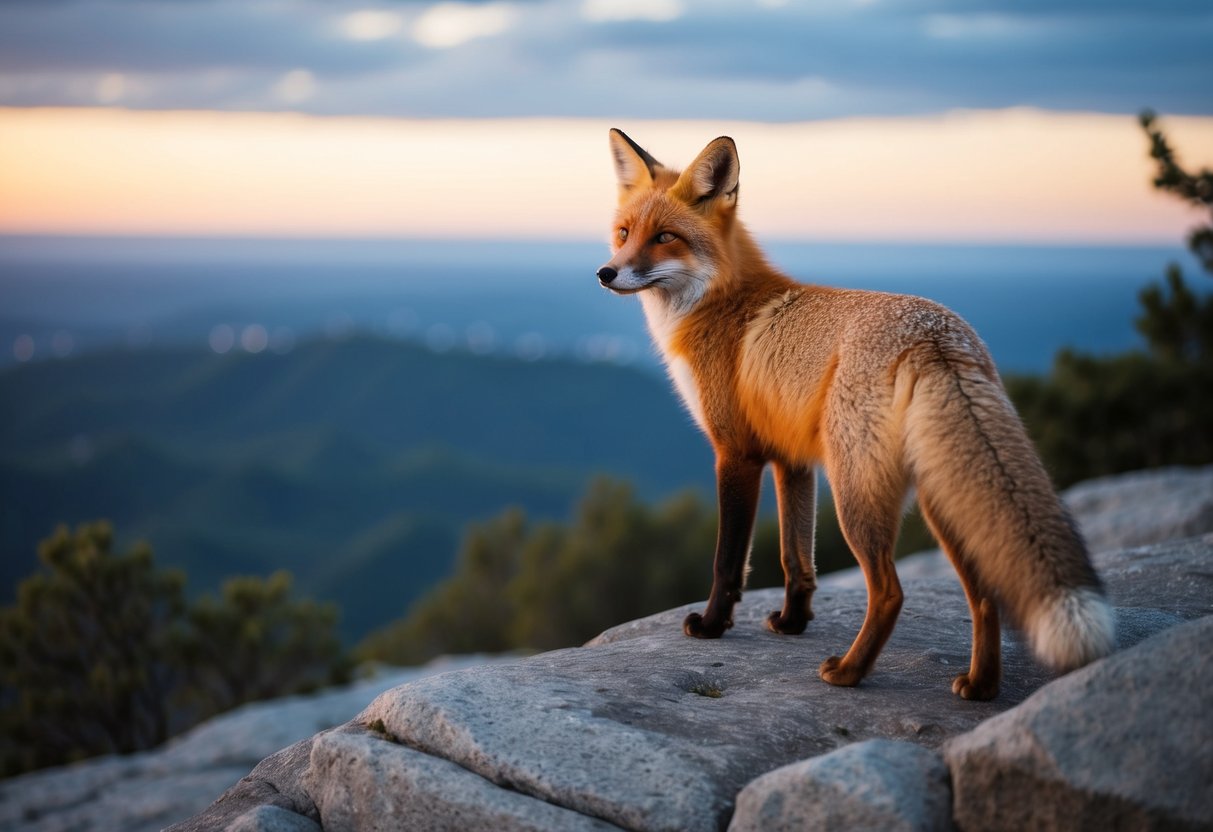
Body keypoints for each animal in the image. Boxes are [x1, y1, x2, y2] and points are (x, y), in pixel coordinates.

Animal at [596, 129, 1116, 700]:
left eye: (665, 237)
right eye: (624, 233)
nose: (606, 272)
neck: (720, 302)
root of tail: (935, 335)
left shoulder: (736, 453)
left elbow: (728, 562)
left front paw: (712, 627)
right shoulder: (792, 461)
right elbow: (797, 560)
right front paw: (792, 622)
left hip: (856, 493)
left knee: (890, 592)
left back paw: (849, 672)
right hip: (939, 495)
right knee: (983, 592)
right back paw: (980, 686)